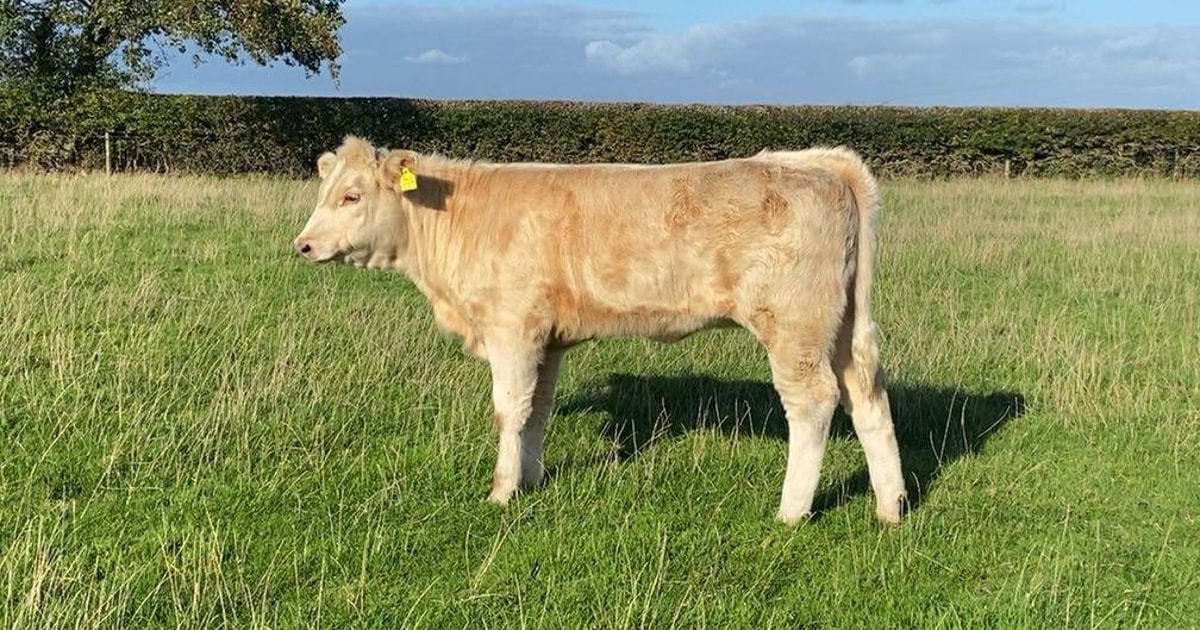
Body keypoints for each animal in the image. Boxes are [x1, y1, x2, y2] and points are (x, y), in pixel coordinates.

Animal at [293, 136, 907, 525]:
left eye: (352, 195)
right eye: (324, 193)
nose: (302, 245)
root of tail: (817, 164)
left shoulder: (512, 327)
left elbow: (508, 410)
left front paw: (500, 492)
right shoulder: (549, 337)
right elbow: (537, 410)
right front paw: (530, 478)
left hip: (794, 325)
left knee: (813, 403)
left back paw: (790, 513)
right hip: (842, 328)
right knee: (869, 398)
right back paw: (891, 508)